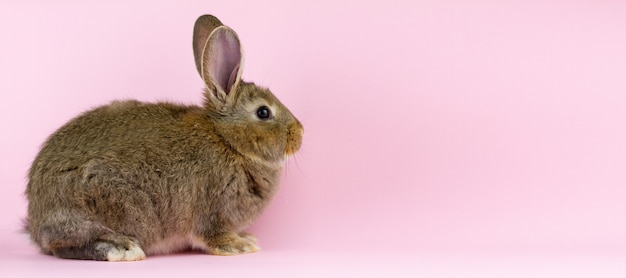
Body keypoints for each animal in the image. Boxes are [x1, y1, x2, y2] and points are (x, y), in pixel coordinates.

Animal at [25, 14, 304, 262]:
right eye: (263, 112)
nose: (300, 134)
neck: (228, 141)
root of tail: (35, 220)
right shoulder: (212, 210)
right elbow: (213, 235)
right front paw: (239, 245)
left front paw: (246, 238)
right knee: (64, 246)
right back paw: (121, 248)